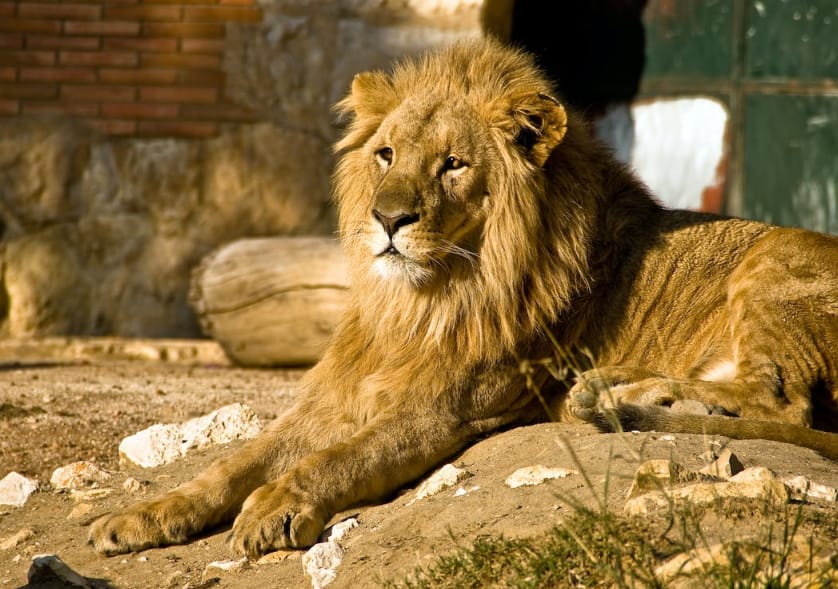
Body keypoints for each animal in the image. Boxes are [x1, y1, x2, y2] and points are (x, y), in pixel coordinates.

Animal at [88, 36, 838, 558]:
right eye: (386, 154)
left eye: (453, 164)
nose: (388, 219)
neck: (423, 300)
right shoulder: (333, 397)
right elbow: (232, 463)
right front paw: (136, 518)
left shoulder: (446, 408)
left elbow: (343, 457)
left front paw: (276, 505)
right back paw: (618, 390)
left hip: (772, 261)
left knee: (785, 402)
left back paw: (626, 398)